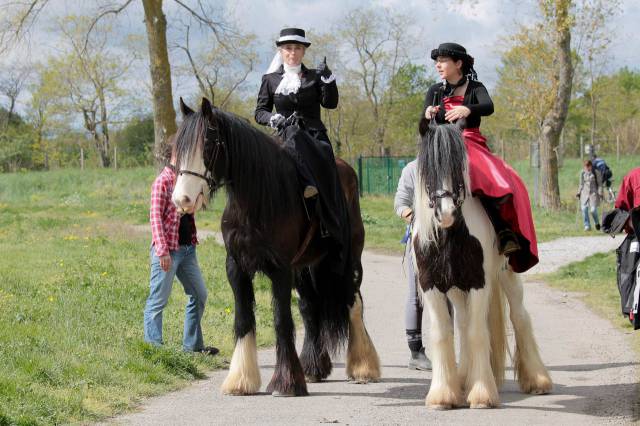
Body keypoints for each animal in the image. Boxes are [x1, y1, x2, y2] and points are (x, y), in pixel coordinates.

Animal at [171, 99, 380, 396]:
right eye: (178, 147)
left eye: (208, 144)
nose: (182, 199)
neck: (257, 200)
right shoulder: (236, 268)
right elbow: (244, 319)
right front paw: (241, 380)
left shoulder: (280, 269)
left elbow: (282, 321)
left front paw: (286, 382)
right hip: (306, 267)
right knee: (309, 308)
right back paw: (313, 367)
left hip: (348, 260)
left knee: (354, 303)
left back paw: (363, 367)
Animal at [412, 123, 552, 410]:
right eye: (428, 169)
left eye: (459, 169)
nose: (446, 213)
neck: (449, 234)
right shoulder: (431, 286)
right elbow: (443, 334)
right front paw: (443, 395)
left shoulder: (479, 282)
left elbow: (478, 333)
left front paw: (481, 395)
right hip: (456, 288)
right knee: (464, 324)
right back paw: (463, 379)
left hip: (507, 275)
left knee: (519, 317)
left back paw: (537, 380)